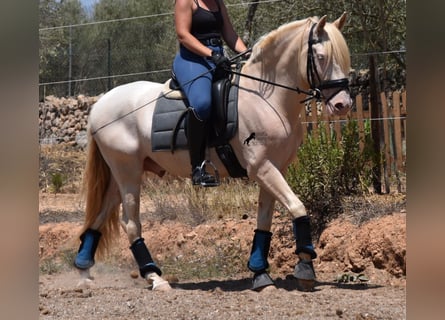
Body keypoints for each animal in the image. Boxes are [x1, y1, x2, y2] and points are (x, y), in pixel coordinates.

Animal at [73, 13, 350, 292]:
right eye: (321, 56)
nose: (343, 105)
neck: (266, 99)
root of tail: (100, 104)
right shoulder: (261, 168)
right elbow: (297, 207)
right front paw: (305, 268)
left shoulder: (273, 168)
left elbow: (264, 221)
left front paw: (261, 275)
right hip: (127, 172)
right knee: (130, 223)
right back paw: (155, 278)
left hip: (121, 174)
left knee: (99, 216)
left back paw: (84, 272)